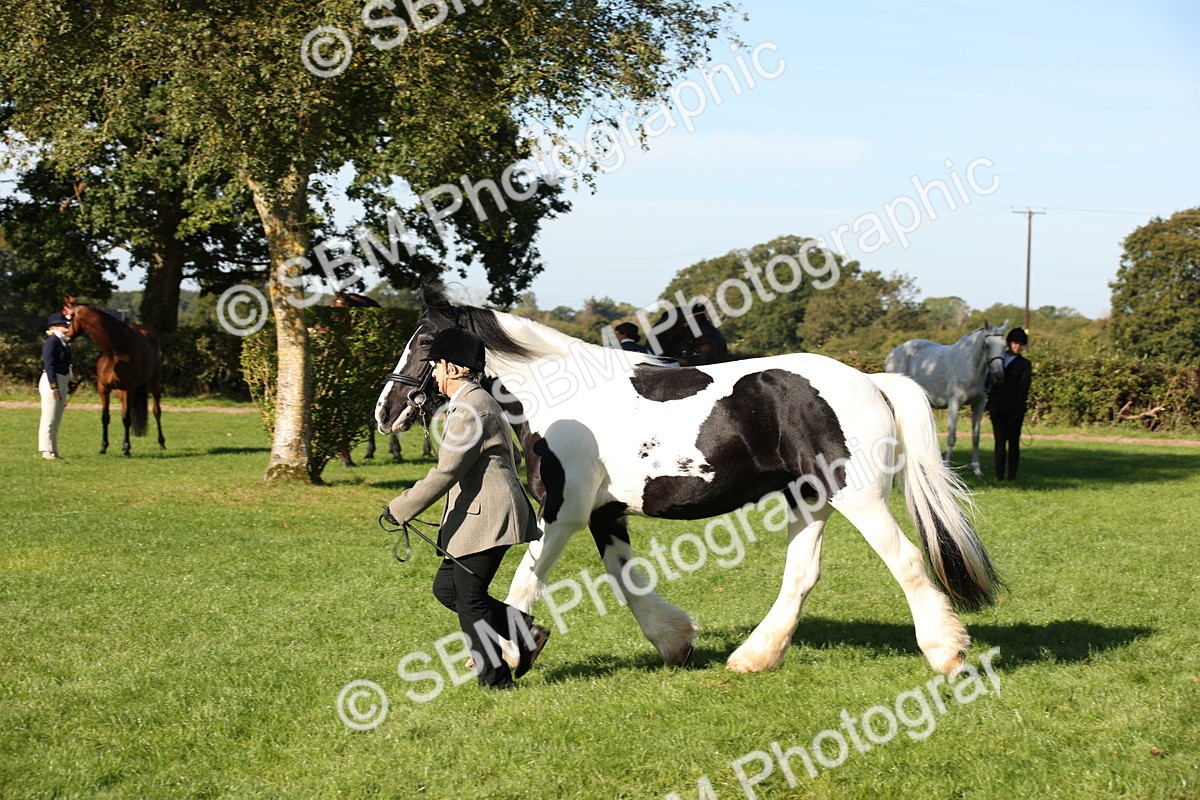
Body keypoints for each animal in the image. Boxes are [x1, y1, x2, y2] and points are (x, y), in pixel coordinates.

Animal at [64, 298, 166, 456]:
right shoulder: (104, 388)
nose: (66, 336)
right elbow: (106, 417)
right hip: (120, 390)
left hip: (153, 383)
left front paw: (127, 448)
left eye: (69, 319)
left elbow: (127, 418)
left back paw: (161, 443)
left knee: (156, 411)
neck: (114, 350)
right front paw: (104, 447)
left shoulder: (130, 388)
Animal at [884, 323, 1008, 476]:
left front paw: (977, 469)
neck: (969, 366)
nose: (998, 375)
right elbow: (951, 438)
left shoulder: (979, 405)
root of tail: (891, 355)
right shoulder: (955, 403)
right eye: (986, 345)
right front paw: (948, 467)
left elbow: (976, 438)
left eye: (1005, 345)